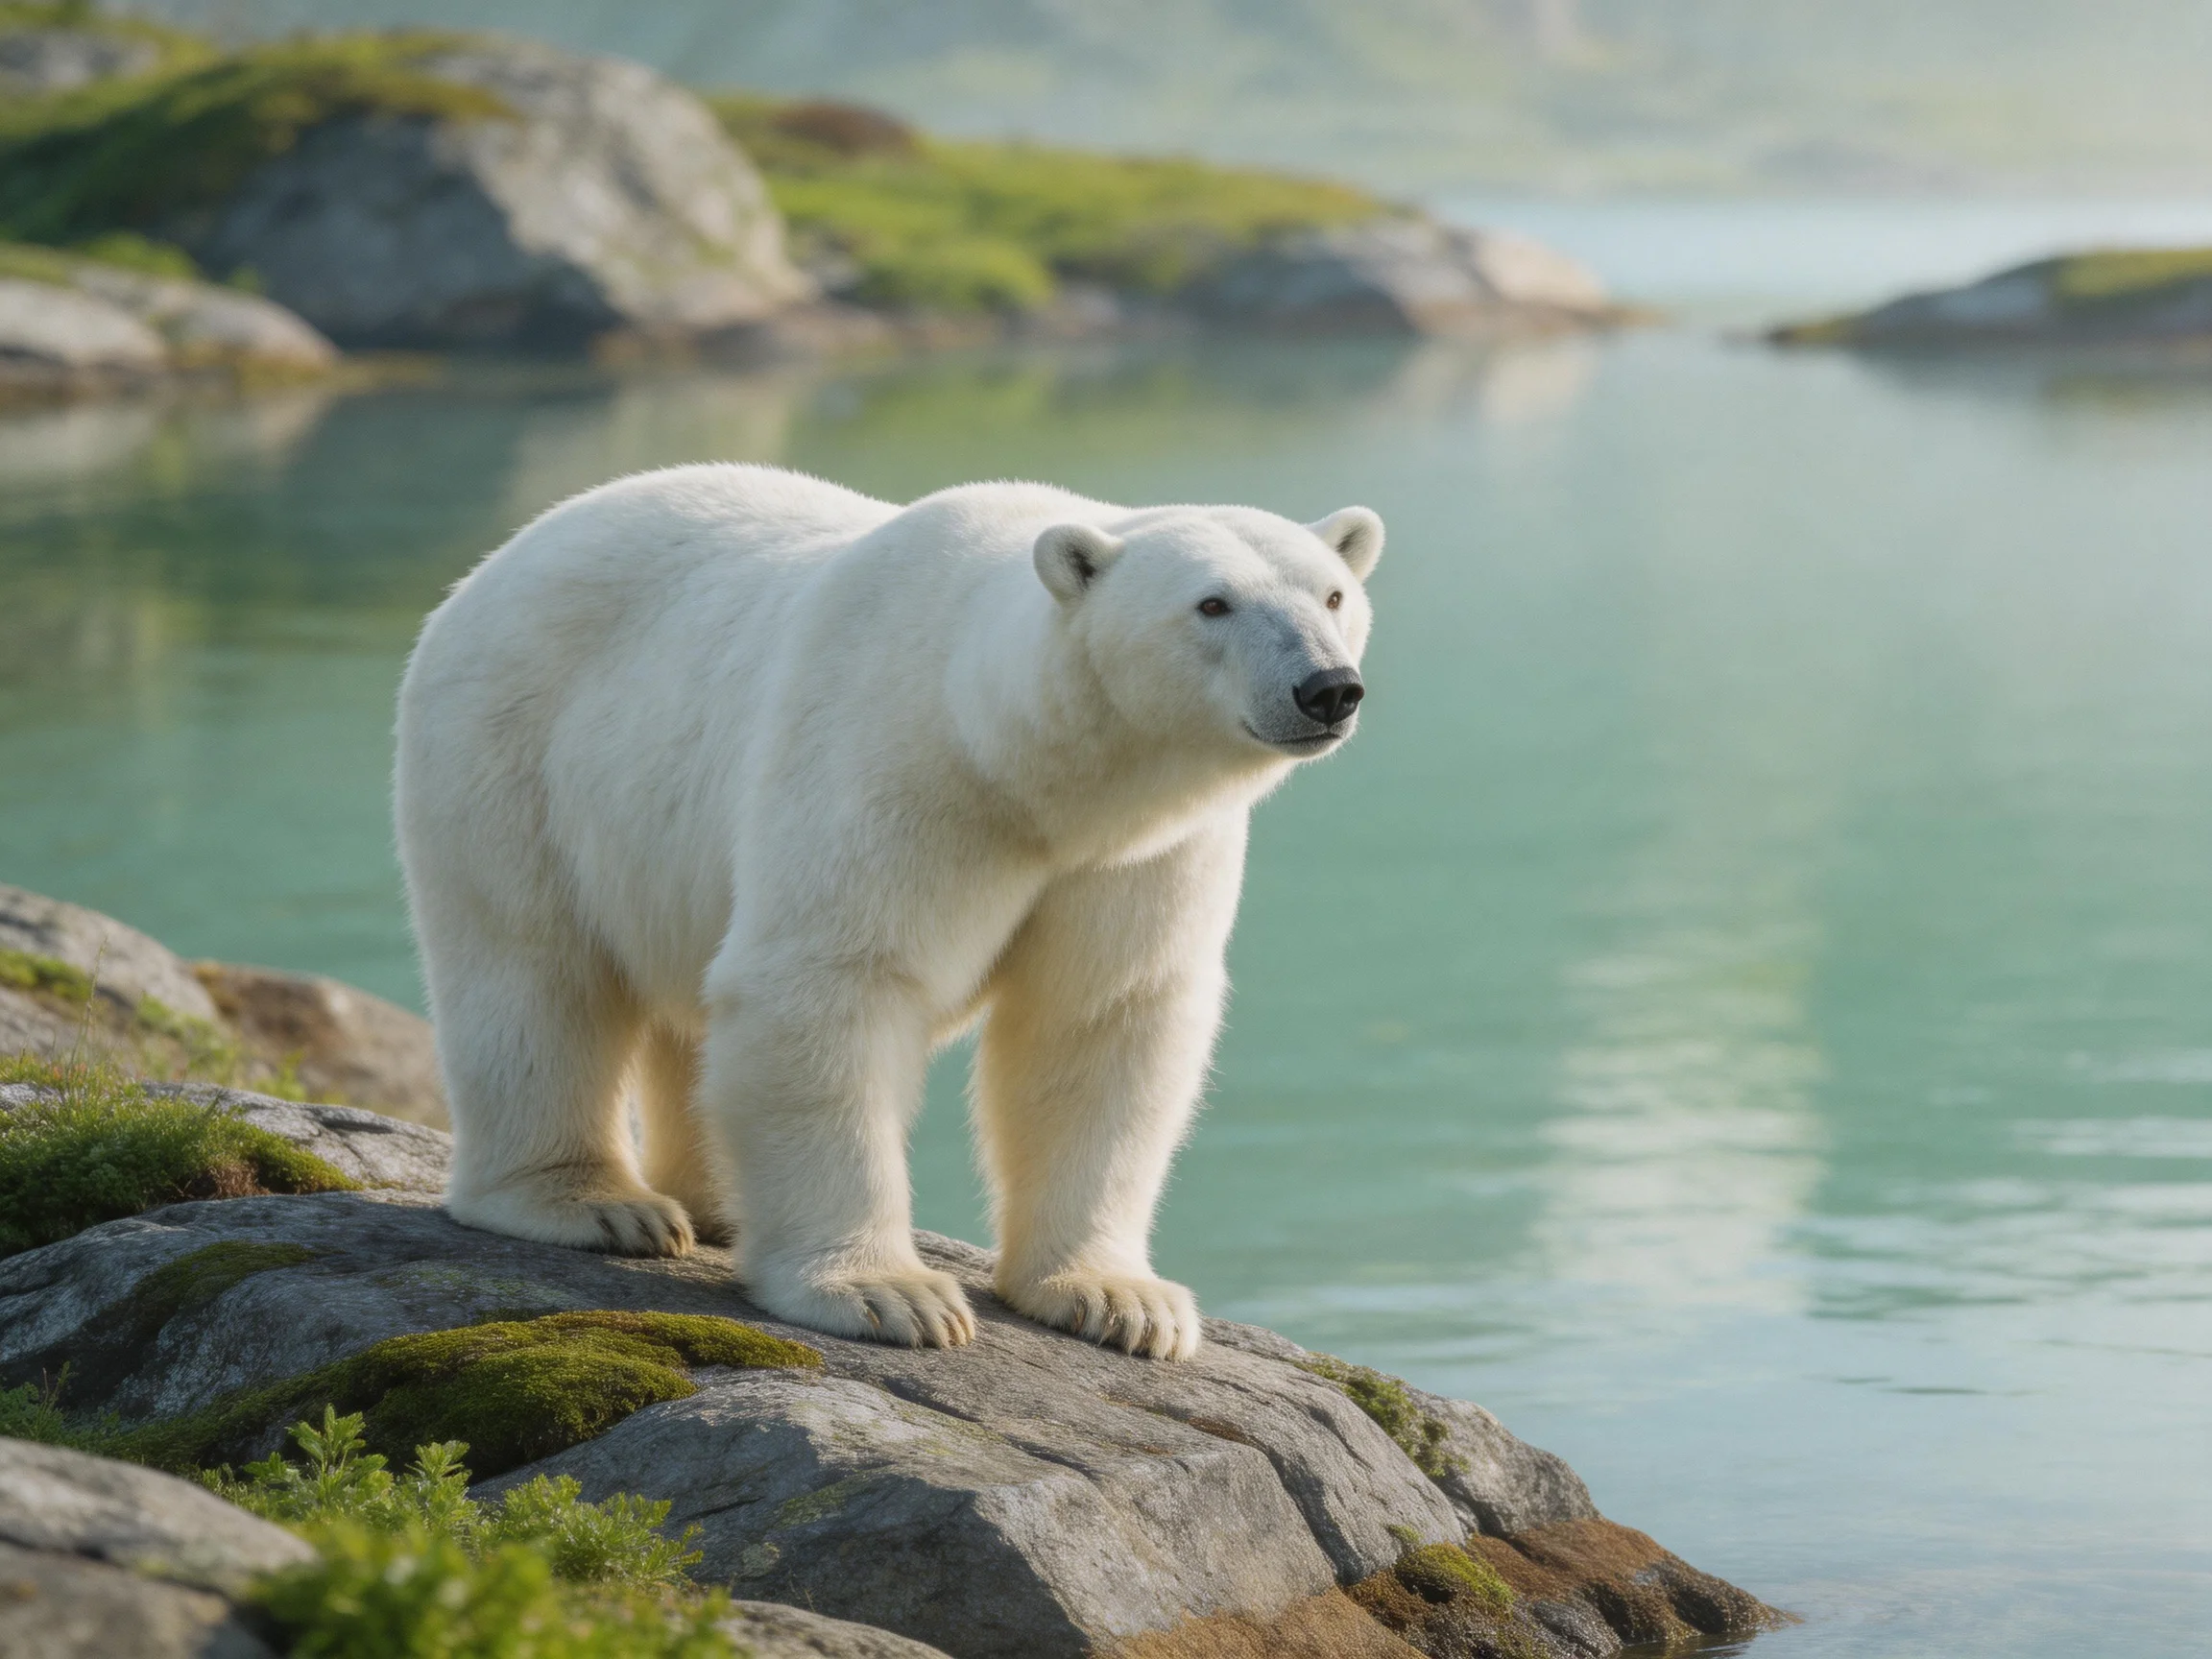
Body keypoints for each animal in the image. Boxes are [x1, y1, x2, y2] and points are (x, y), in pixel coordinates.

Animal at [395, 464, 1380, 1360]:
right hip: (515, 751)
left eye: (1334, 594)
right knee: (532, 972)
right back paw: (595, 1204)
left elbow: (1101, 1020)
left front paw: (1118, 1301)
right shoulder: (896, 770)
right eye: (1212, 604)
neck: (1021, 765)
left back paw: (719, 1207)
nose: (1327, 687)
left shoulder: (1136, 856)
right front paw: (888, 1295)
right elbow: (832, 983)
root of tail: (505, 556)